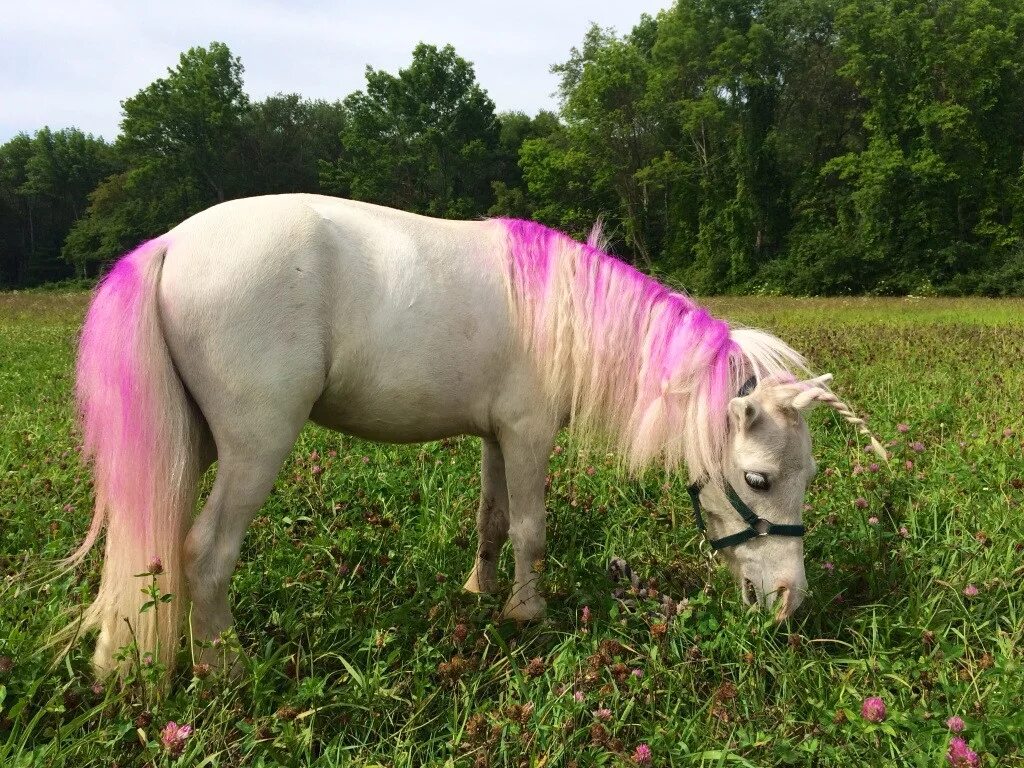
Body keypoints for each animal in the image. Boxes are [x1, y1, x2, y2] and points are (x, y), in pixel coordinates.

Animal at [64, 195, 884, 675]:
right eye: (758, 480)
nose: (790, 603)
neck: (565, 316)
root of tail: (171, 243)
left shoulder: (494, 437)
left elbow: (491, 521)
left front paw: (479, 592)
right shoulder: (525, 437)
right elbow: (530, 529)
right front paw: (526, 612)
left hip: (189, 447)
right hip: (253, 448)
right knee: (205, 552)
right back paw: (224, 668)